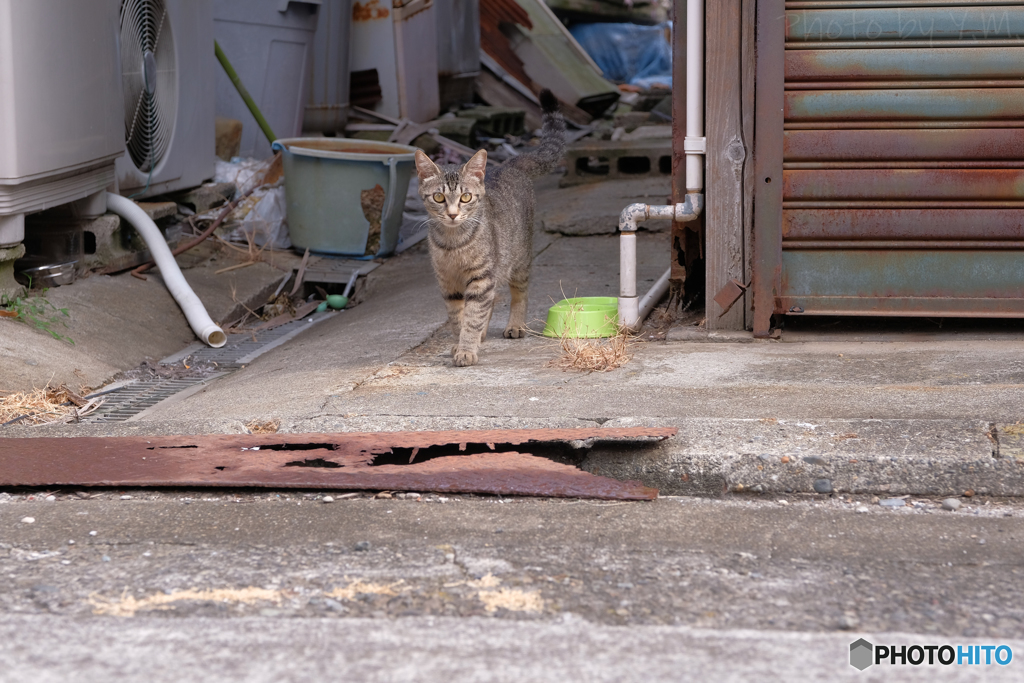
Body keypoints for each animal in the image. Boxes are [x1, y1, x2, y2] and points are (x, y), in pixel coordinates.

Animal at [411, 92, 565, 368]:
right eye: (439, 197)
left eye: (466, 197)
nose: (452, 214)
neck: (453, 243)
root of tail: (507, 164)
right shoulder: (448, 283)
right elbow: (458, 317)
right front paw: (460, 342)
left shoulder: (481, 276)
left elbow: (472, 317)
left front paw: (466, 349)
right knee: (490, 300)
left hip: (518, 260)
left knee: (520, 293)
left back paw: (515, 325)